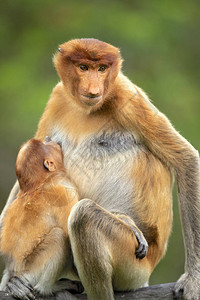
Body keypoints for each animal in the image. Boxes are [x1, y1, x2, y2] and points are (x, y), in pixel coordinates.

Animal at [0, 137, 83, 298]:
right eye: (46, 144)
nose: (49, 138)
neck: (39, 183)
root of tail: (14, 270)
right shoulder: (65, 191)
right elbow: (69, 233)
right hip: (32, 271)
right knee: (58, 236)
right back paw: (49, 287)